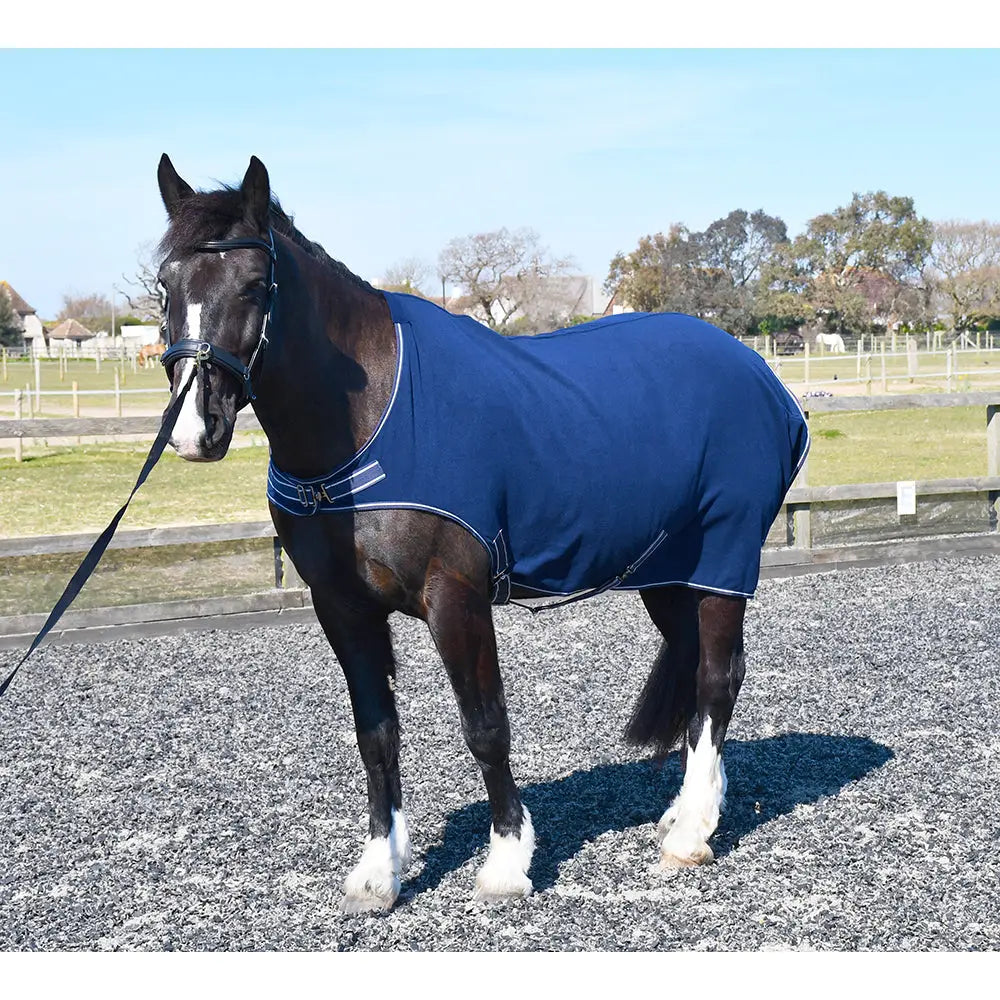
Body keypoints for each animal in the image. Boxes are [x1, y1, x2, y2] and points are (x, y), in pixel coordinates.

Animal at [153, 154, 810, 912]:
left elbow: (485, 725)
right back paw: (686, 810)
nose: (194, 429)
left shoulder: (456, 598)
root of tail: (760, 373)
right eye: (164, 285)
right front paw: (379, 872)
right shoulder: (342, 610)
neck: (371, 422)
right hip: (670, 573)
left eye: (255, 286)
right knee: (699, 671)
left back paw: (691, 833)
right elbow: (376, 734)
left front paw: (506, 861)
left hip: (722, 563)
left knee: (717, 677)